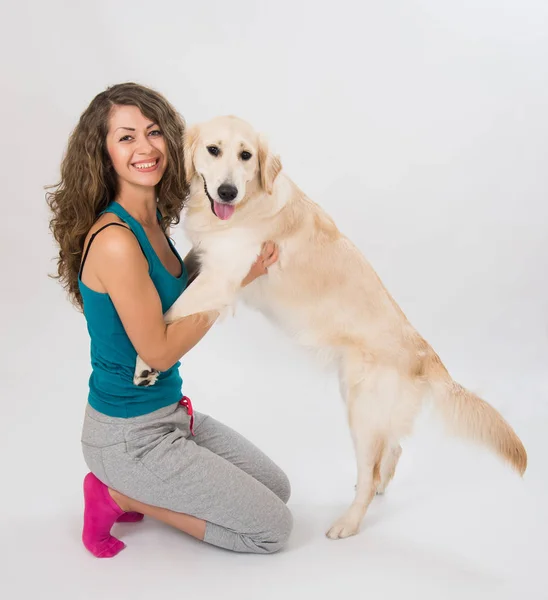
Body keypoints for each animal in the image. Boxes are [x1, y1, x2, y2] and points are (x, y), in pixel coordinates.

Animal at [133, 115, 528, 536]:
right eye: (213, 150)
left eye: (246, 155)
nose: (227, 191)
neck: (250, 203)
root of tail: (426, 354)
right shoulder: (207, 262)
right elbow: (185, 272)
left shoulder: (221, 280)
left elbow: (171, 313)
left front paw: (145, 365)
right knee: (394, 448)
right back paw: (381, 484)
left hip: (361, 410)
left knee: (371, 470)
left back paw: (349, 522)